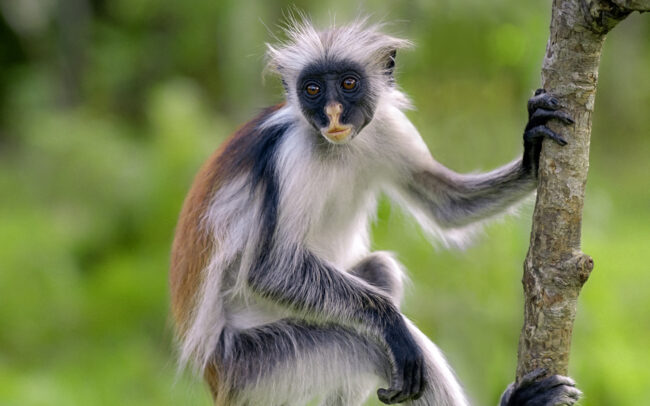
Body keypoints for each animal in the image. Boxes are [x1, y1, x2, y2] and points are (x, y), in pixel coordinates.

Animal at [170, 18, 582, 406]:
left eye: (349, 83)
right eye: (312, 89)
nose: (333, 112)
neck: (339, 147)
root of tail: (213, 377)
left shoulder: (386, 126)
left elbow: (446, 205)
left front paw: (532, 157)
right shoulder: (291, 153)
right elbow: (270, 269)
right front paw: (391, 323)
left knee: (381, 272)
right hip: (253, 366)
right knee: (368, 344)